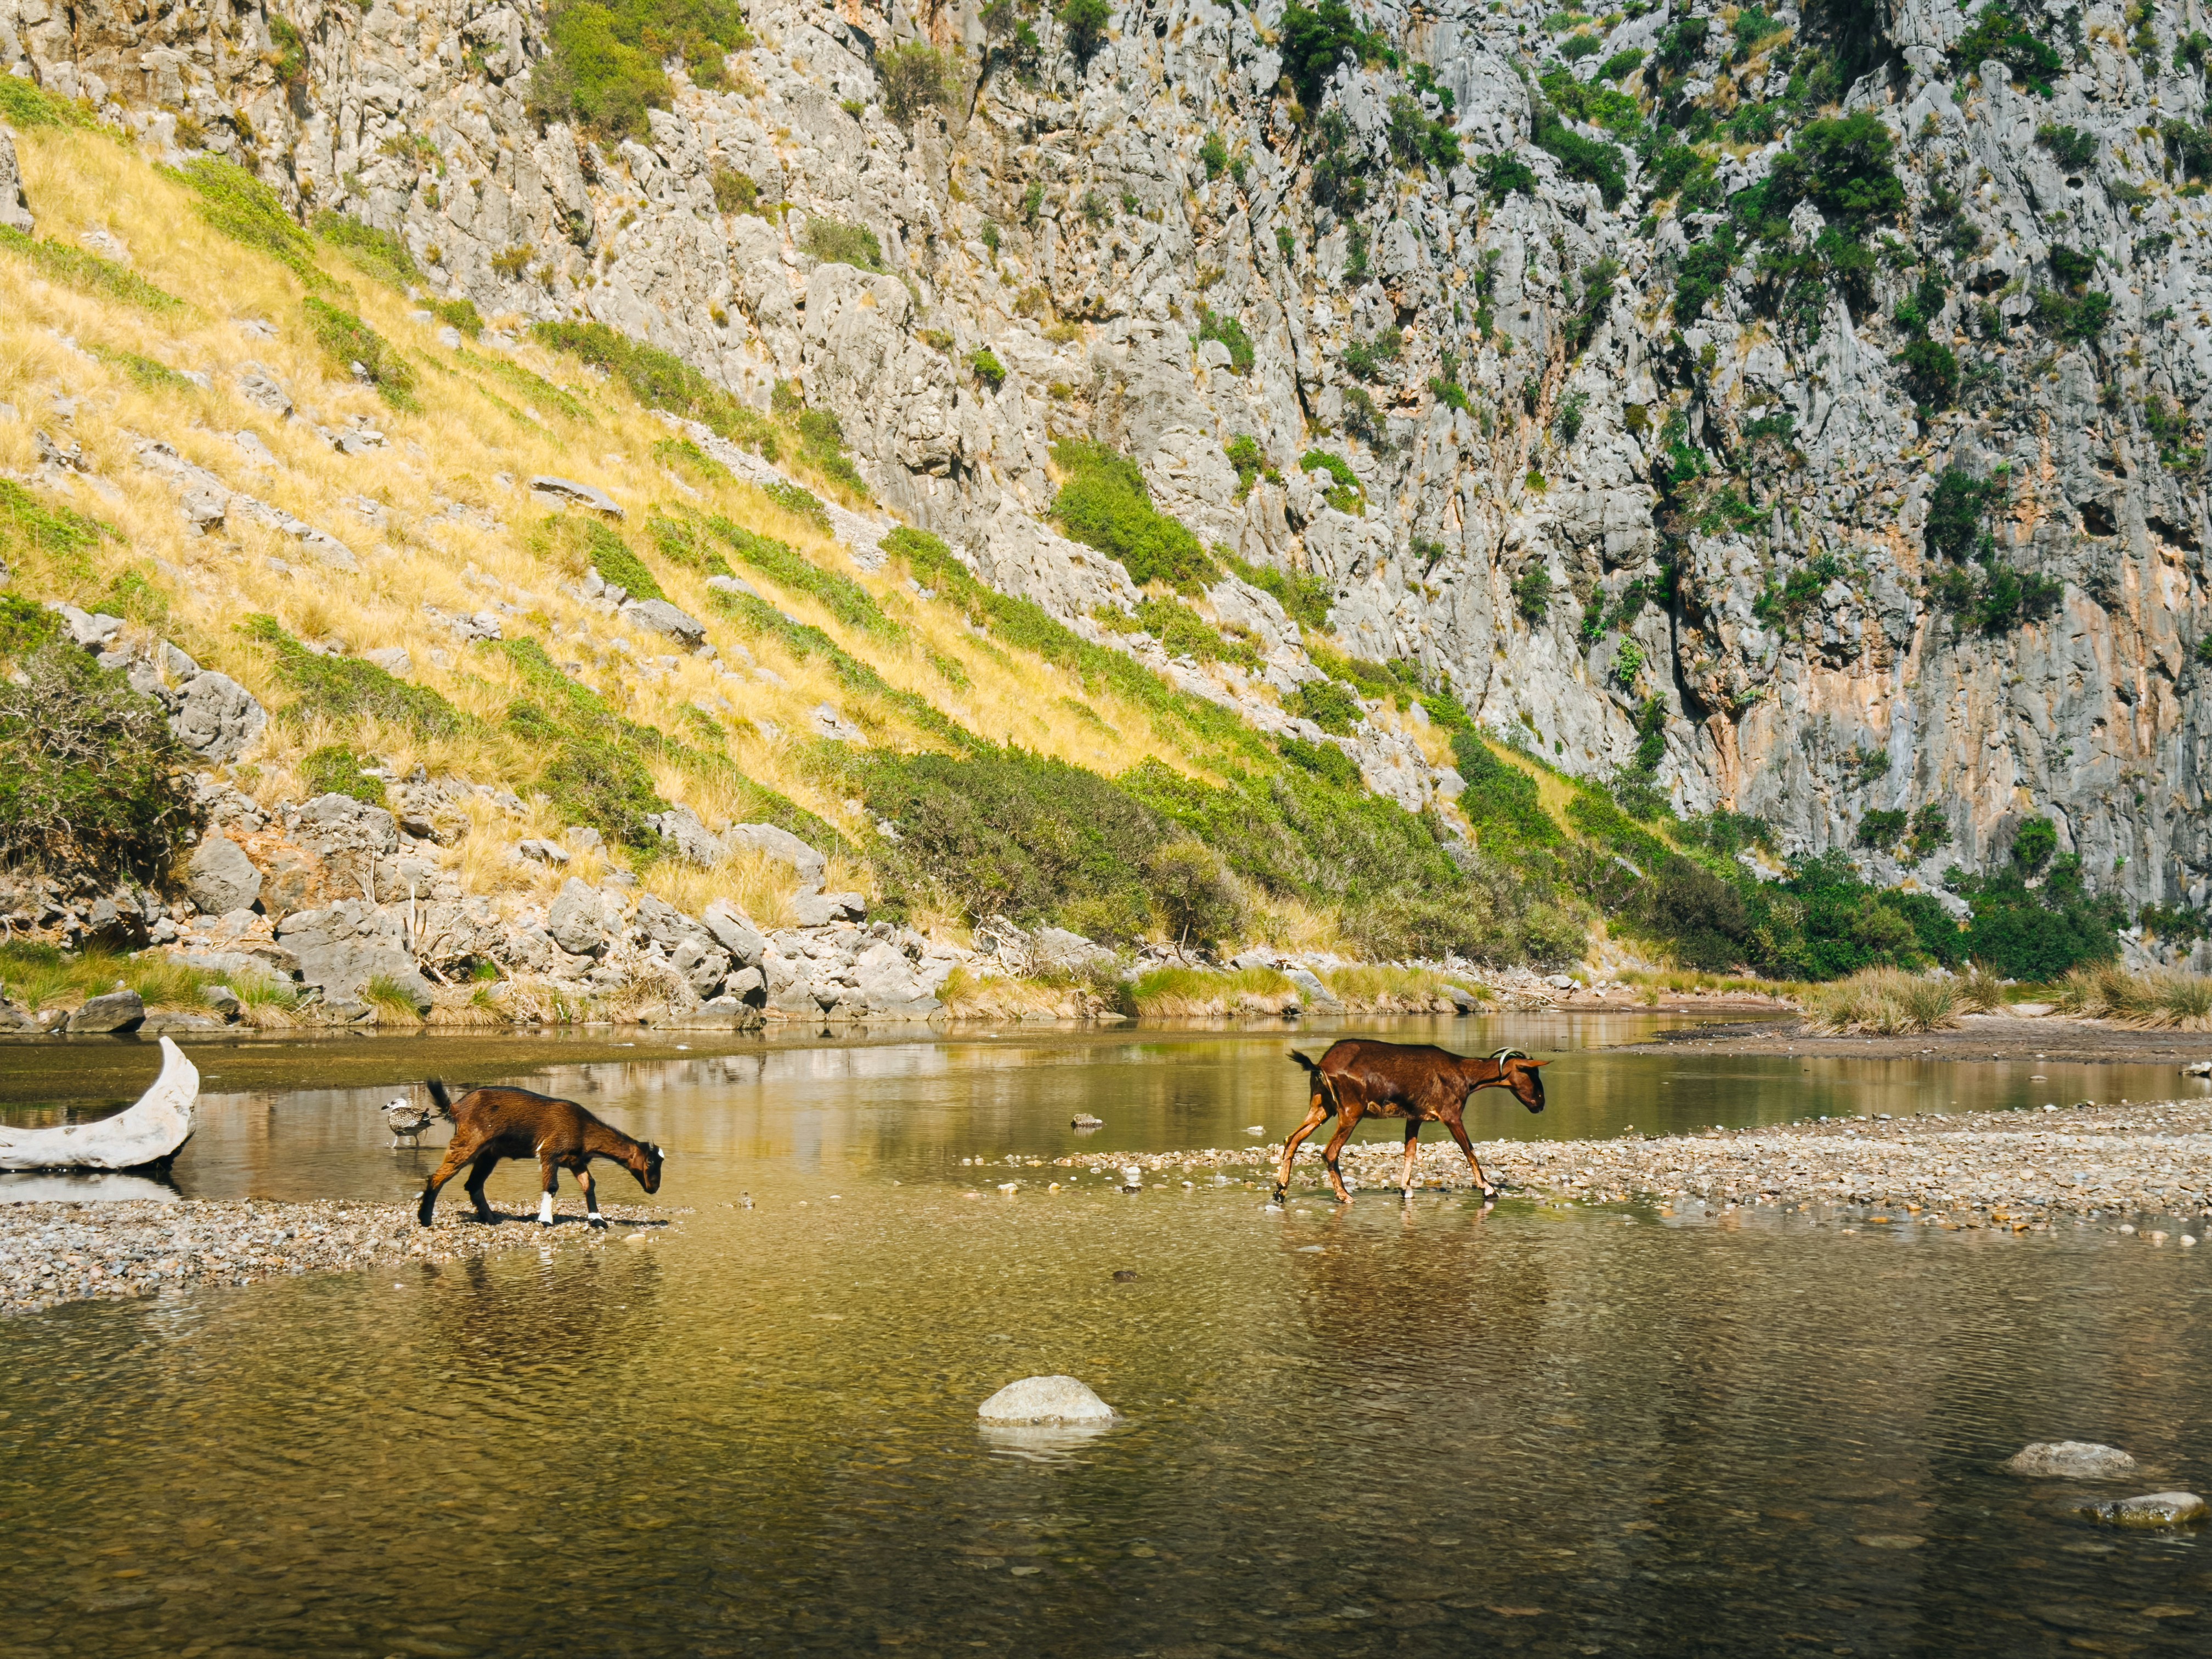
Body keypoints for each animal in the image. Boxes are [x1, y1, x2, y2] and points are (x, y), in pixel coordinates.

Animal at [415, 1080, 664, 1229]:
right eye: (650, 1161)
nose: (654, 1188)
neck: (583, 1129)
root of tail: (457, 1108)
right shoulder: (550, 1153)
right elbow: (552, 1186)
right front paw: (545, 1220)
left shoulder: (575, 1161)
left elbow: (589, 1185)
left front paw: (598, 1220)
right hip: (469, 1141)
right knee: (440, 1176)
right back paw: (425, 1219)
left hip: (490, 1153)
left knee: (474, 1184)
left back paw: (491, 1219)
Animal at [1274, 1039, 1548, 1204]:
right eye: (1531, 1073)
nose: (1541, 1104)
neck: (1464, 1074)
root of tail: (1322, 1064)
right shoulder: (1452, 1115)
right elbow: (1470, 1151)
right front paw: (1489, 1189)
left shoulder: (1414, 1117)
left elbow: (1410, 1152)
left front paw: (1405, 1188)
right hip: (1351, 1111)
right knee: (1330, 1152)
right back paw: (1344, 1196)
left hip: (1322, 1106)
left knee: (1292, 1140)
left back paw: (1280, 1189)